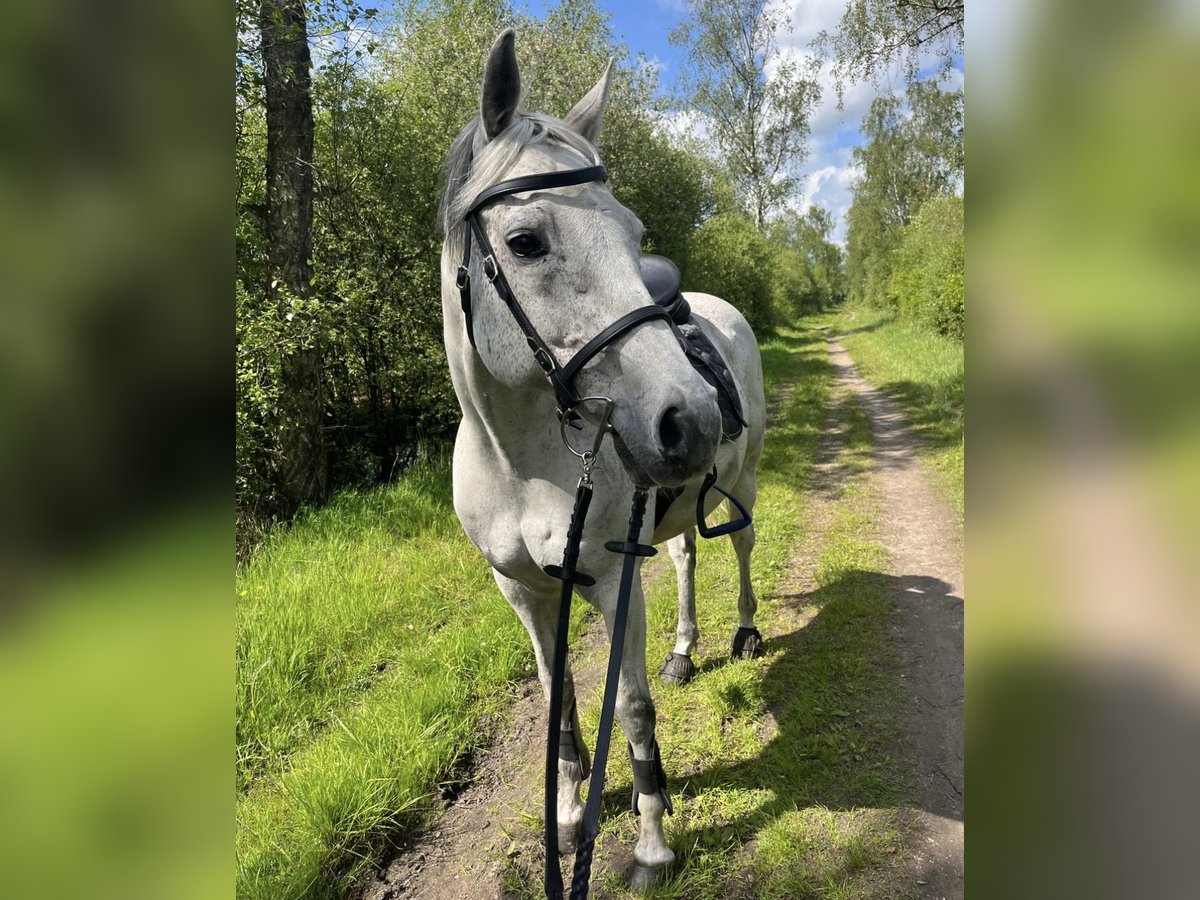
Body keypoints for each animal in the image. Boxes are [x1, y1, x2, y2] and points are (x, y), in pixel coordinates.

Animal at [436, 30, 763, 897]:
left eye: (632, 229)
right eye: (525, 242)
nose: (694, 416)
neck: (522, 465)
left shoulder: (614, 579)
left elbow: (633, 709)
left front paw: (650, 845)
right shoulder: (524, 593)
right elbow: (564, 705)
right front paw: (570, 809)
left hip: (745, 480)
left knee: (743, 548)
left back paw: (745, 630)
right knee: (685, 558)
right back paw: (685, 648)